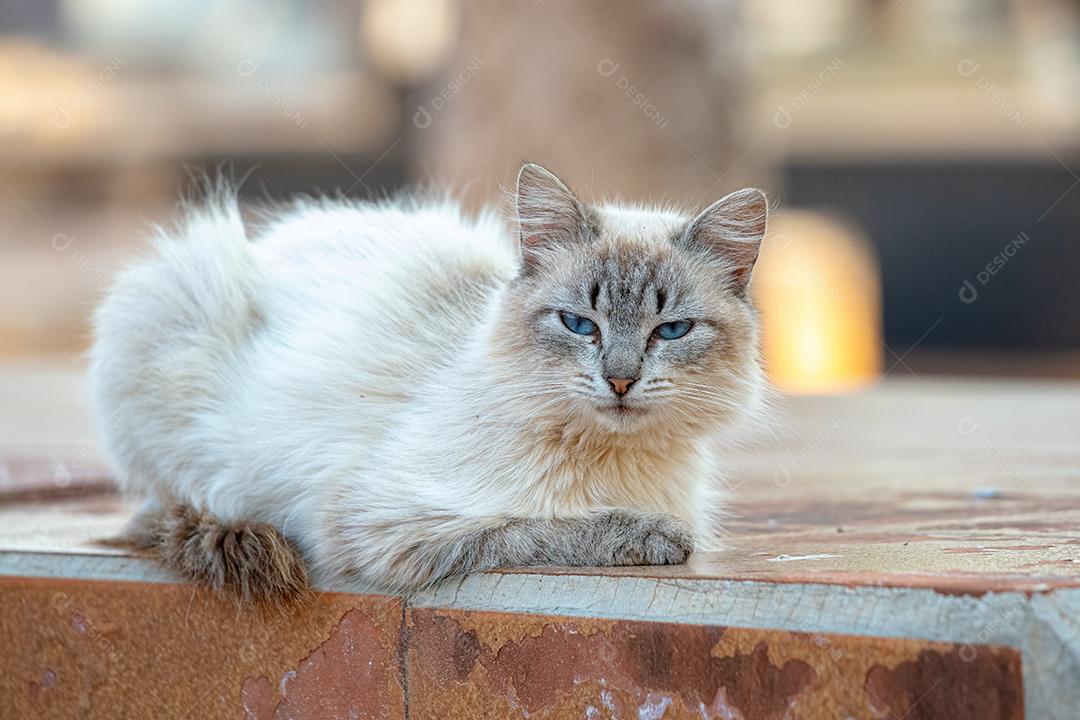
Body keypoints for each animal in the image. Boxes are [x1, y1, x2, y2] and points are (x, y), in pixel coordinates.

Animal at [92, 165, 768, 604]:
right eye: (580, 324)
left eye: (671, 330)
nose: (621, 380)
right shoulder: (389, 523)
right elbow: (540, 530)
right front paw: (652, 535)